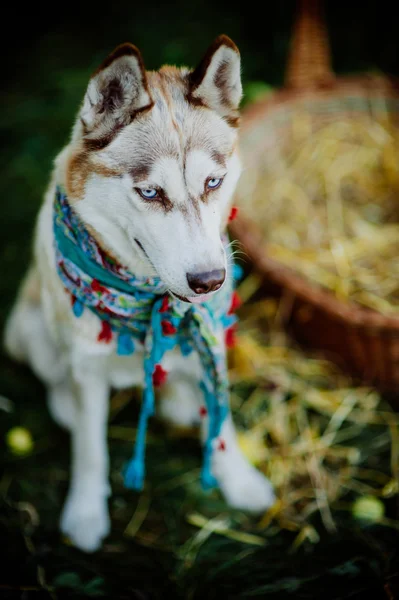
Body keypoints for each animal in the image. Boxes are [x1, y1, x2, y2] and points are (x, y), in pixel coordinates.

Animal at [5, 36, 276, 552]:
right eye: (151, 193)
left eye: (213, 182)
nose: (210, 279)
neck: (148, 303)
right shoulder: (86, 366)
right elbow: (90, 450)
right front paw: (85, 514)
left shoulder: (211, 338)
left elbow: (222, 424)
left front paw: (239, 481)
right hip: (27, 329)